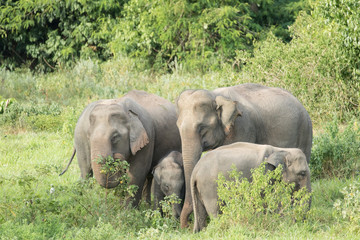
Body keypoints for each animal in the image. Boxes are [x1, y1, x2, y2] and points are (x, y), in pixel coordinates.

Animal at [176, 83, 314, 227]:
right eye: (178, 127)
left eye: (202, 128)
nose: (186, 225)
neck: (214, 94)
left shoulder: (243, 126)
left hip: (306, 131)